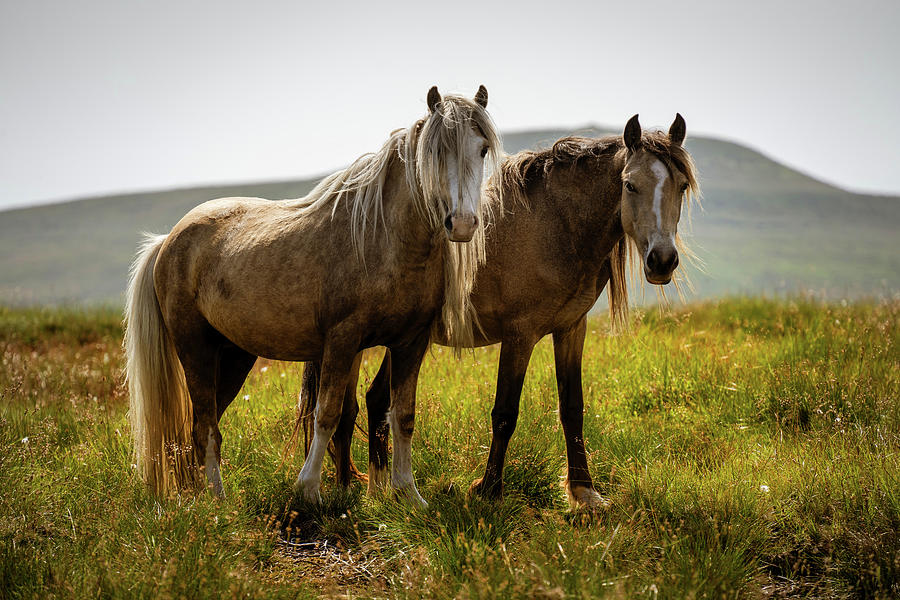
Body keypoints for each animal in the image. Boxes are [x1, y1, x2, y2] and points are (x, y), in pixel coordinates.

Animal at [124, 85, 502, 506]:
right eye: (434, 152)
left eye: (482, 148)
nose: (462, 223)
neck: (384, 239)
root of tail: (168, 240)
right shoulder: (342, 340)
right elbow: (328, 413)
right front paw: (310, 489)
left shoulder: (411, 343)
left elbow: (402, 414)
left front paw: (408, 493)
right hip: (195, 349)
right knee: (205, 425)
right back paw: (218, 500)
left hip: (235, 356)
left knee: (203, 426)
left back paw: (199, 495)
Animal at [298, 114, 699, 509]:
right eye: (630, 185)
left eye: (681, 186)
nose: (662, 261)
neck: (554, 225)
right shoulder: (520, 335)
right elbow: (505, 412)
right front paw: (489, 489)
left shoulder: (571, 329)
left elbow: (572, 409)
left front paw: (584, 492)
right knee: (350, 407)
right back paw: (349, 490)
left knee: (371, 400)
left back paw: (376, 490)